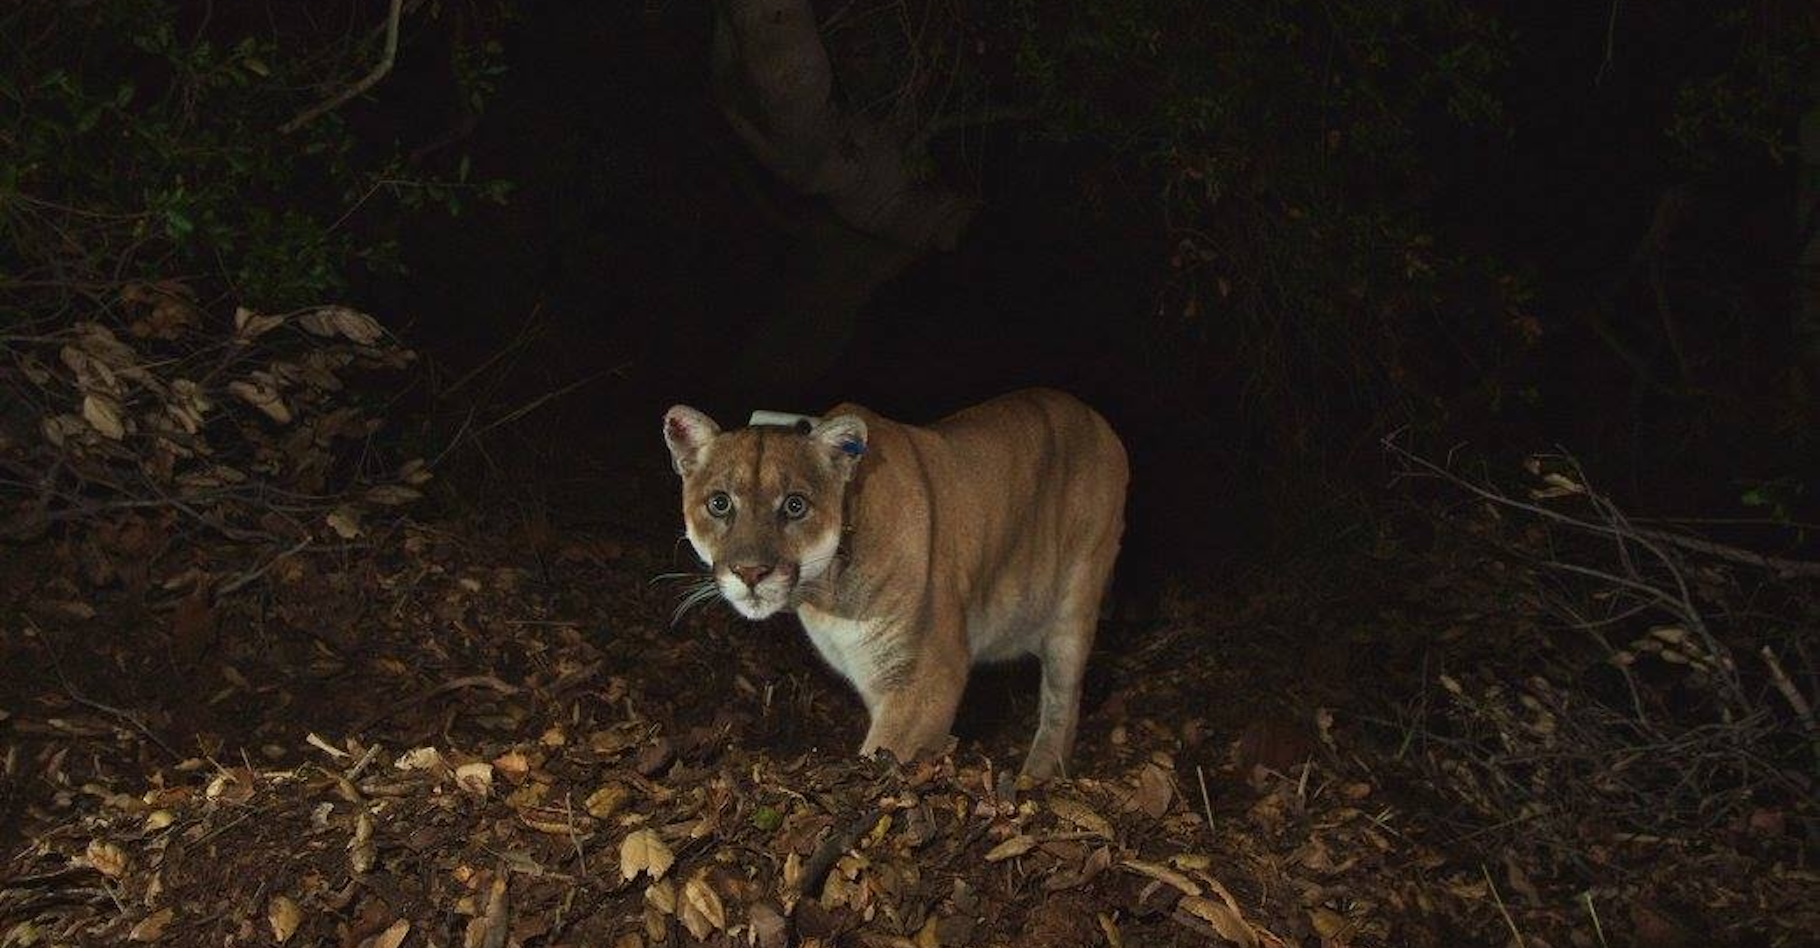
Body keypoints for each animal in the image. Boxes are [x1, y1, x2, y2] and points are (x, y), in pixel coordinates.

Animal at [662, 385, 1128, 775]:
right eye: (720, 503)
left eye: (795, 505)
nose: (751, 572)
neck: (827, 593)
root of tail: (1095, 417)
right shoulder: (874, 674)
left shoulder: (927, 676)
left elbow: (884, 754)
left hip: (1075, 603)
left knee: (1063, 701)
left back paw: (1039, 773)